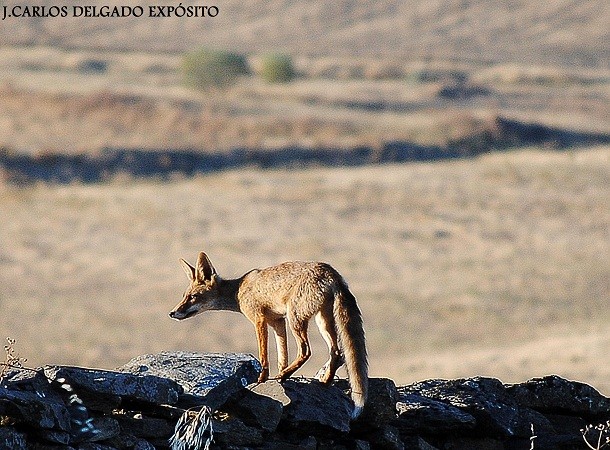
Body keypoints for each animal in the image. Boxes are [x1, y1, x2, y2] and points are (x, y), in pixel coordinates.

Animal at [167, 253, 366, 418]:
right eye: (185, 296)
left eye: (193, 297)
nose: (172, 313)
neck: (239, 290)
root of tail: (331, 272)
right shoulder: (277, 321)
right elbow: (282, 355)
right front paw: (280, 378)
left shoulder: (259, 320)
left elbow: (264, 356)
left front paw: (262, 380)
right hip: (321, 321)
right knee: (336, 352)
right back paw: (323, 381)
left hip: (296, 319)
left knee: (306, 351)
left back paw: (286, 376)